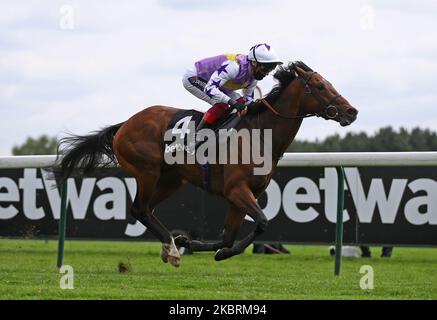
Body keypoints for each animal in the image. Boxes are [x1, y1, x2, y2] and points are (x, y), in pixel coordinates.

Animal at [57, 61, 358, 266]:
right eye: (319, 86)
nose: (351, 111)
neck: (261, 133)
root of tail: (124, 125)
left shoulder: (247, 193)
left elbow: (228, 235)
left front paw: (195, 243)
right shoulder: (236, 189)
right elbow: (261, 222)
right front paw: (212, 250)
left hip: (170, 180)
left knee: (146, 210)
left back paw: (171, 246)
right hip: (147, 171)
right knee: (138, 209)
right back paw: (173, 249)